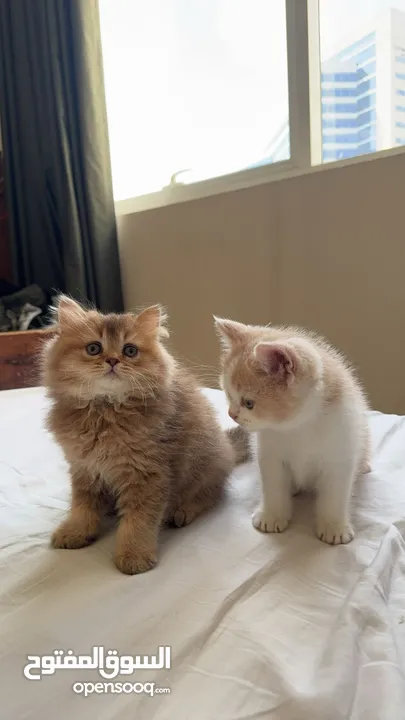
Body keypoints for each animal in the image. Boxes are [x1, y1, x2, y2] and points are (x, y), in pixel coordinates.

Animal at [42, 296, 248, 572]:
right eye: (94, 348)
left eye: (130, 351)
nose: (112, 360)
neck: (105, 411)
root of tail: (227, 445)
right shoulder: (84, 468)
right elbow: (82, 507)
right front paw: (75, 531)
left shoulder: (148, 474)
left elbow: (138, 520)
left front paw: (134, 554)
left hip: (205, 466)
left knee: (211, 494)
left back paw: (182, 512)